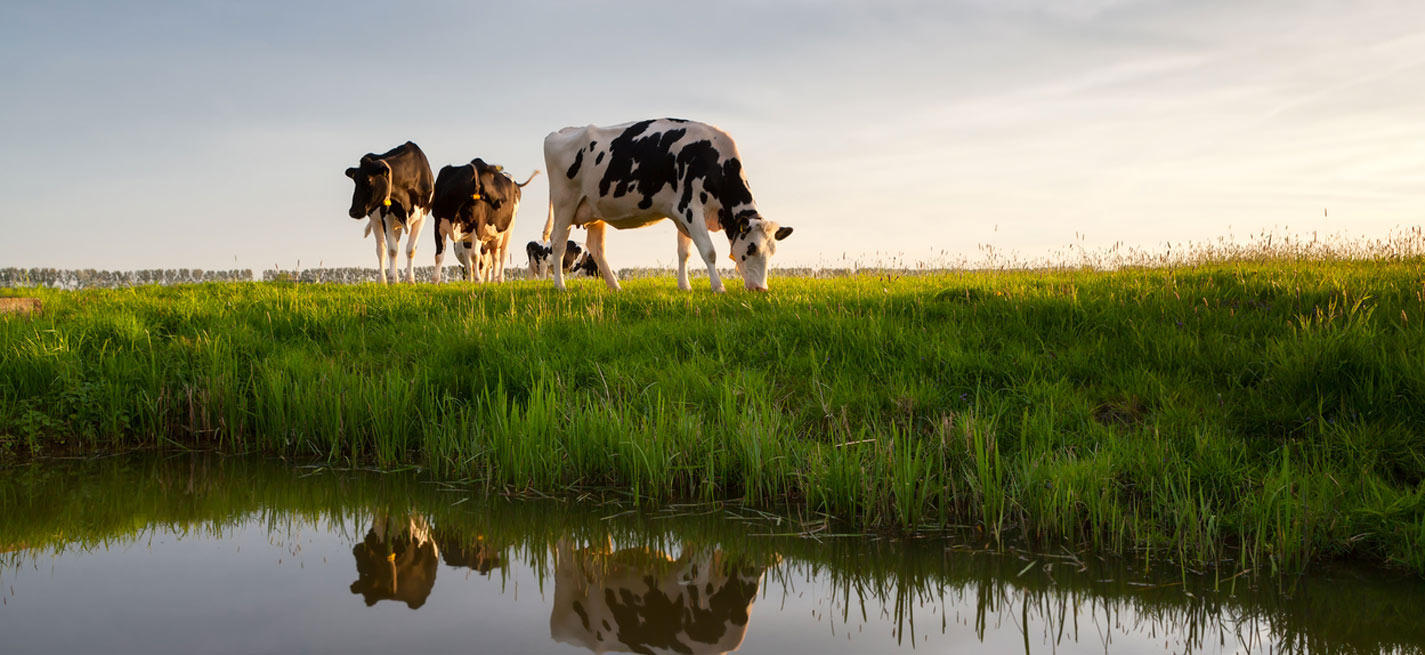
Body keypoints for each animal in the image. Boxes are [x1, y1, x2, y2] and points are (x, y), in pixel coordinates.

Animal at [344, 140, 433, 283]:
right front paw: (393, 280)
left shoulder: (422, 215)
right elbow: (392, 250)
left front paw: (410, 280)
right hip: (375, 219)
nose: (353, 211)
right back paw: (383, 280)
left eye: (369, 180)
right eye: (355, 180)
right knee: (381, 250)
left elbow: (411, 249)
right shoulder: (385, 216)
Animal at [541, 118, 798, 291]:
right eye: (751, 248)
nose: (761, 289)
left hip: (595, 211)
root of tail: (560, 131)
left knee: (597, 249)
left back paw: (615, 287)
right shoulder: (690, 208)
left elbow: (684, 252)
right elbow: (709, 251)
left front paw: (685, 287)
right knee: (559, 243)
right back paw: (560, 286)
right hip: (565, 204)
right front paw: (719, 287)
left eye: (772, 251)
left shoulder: (681, 213)